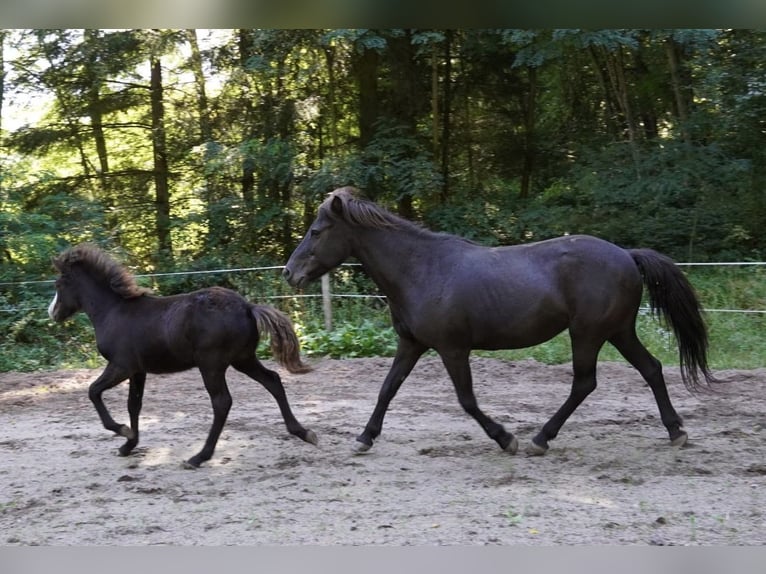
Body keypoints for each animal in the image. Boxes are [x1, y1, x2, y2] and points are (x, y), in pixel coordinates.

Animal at [48, 243, 317, 468]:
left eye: (59, 285)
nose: (53, 313)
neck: (114, 311)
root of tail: (248, 307)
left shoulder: (121, 366)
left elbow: (93, 391)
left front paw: (122, 431)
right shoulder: (138, 370)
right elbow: (134, 405)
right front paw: (129, 444)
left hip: (212, 365)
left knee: (222, 402)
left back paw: (199, 457)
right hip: (243, 359)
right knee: (273, 381)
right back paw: (303, 432)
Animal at [283, 186, 719, 456]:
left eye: (316, 231)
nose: (290, 273)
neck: (422, 270)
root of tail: (627, 255)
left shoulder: (452, 349)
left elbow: (467, 400)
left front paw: (506, 439)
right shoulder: (412, 344)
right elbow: (387, 389)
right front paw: (363, 438)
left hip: (588, 333)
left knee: (585, 383)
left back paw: (539, 439)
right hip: (617, 331)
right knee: (651, 368)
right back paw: (676, 432)